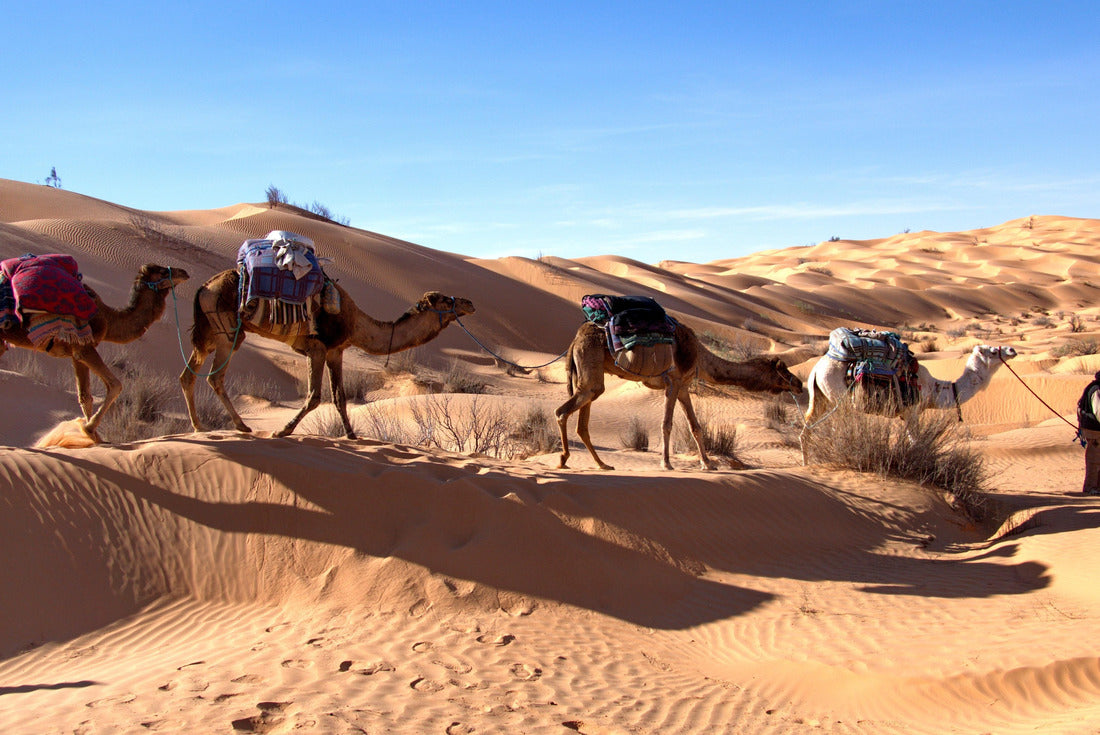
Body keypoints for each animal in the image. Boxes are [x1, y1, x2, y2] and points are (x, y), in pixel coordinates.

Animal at [0, 264, 190, 440]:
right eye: (162, 271)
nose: (185, 272)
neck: (108, 318)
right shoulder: (85, 348)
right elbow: (115, 385)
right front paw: (88, 428)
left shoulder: (76, 352)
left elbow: (85, 396)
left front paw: (91, 436)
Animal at [179, 269, 475, 439]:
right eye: (445, 300)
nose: (469, 302)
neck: (355, 323)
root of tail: (203, 287)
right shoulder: (317, 347)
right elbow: (314, 396)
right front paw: (283, 430)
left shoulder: (336, 352)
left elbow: (339, 397)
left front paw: (351, 435)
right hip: (228, 331)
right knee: (214, 377)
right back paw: (241, 426)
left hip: (209, 332)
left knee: (188, 375)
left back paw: (199, 427)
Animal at [556, 320, 804, 471]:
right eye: (783, 370)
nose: (800, 384)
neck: (700, 356)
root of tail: (574, 341)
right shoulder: (673, 382)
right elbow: (666, 424)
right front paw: (666, 463)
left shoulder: (684, 387)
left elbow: (696, 426)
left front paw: (708, 464)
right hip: (591, 366)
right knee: (562, 411)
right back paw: (564, 459)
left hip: (586, 374)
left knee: (582, 422)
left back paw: (602, 464)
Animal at [801, 343, 1019, 462]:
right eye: (992, 351)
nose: (1011, 349)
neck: (935, 388)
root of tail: (816, 369)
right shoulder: (912, 411)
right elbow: (917, 442)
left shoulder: (906, 414)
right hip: (840, 399)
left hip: (821, 397)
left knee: (808, 427)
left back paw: (807, 463)